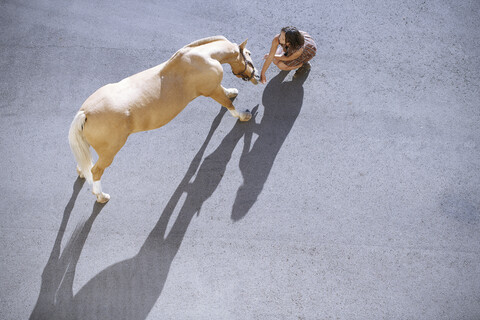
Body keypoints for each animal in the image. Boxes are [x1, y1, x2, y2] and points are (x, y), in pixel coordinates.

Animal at [67, 36, 258, 202]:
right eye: (248, 54)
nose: (256, 75)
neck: (202, 57)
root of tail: (85, 112)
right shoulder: (212, 90)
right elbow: (228, 105)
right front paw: (244, 115)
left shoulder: (214, 87)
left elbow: (225, 93)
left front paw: (232, 91)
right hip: (110, 152)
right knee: (96, 171)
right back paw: (101, 196)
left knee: (86, 163)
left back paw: (82, 173)